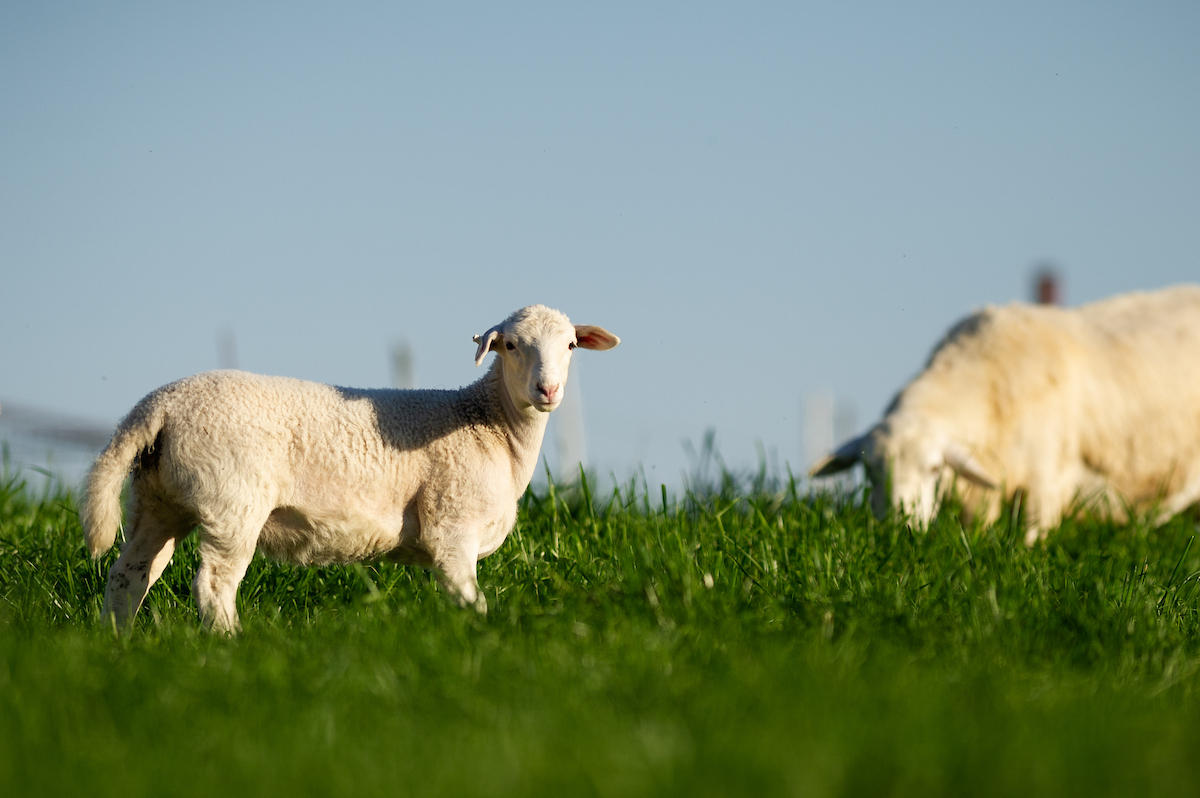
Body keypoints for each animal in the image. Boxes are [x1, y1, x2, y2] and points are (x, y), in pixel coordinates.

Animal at [82, 305, 620, 632]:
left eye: (571, 346)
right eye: (510, 345)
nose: (548, 390)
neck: (487, 425)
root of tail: (159, 406)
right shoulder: (452, 526)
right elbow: (471, 602)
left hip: (158, 499)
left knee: (129, 575)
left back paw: (116, 641)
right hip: (232, 499)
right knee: (213, 583)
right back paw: (230, 644)